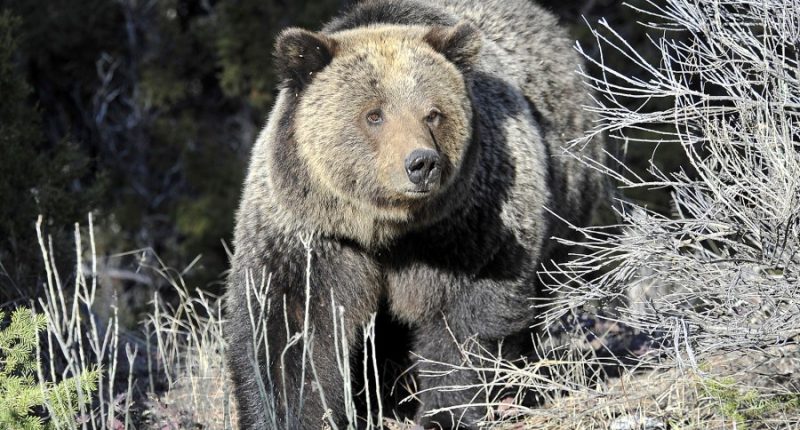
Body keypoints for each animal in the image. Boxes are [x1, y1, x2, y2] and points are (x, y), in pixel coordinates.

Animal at [224, 0, 604, 428]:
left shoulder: (468, 228)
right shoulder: (312, 235)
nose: (421, 163)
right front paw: (292, 412)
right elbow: (290, 330)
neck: (385, 228)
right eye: (374, 114)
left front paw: (446, 412)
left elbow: (463, 322)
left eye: (433, 113)